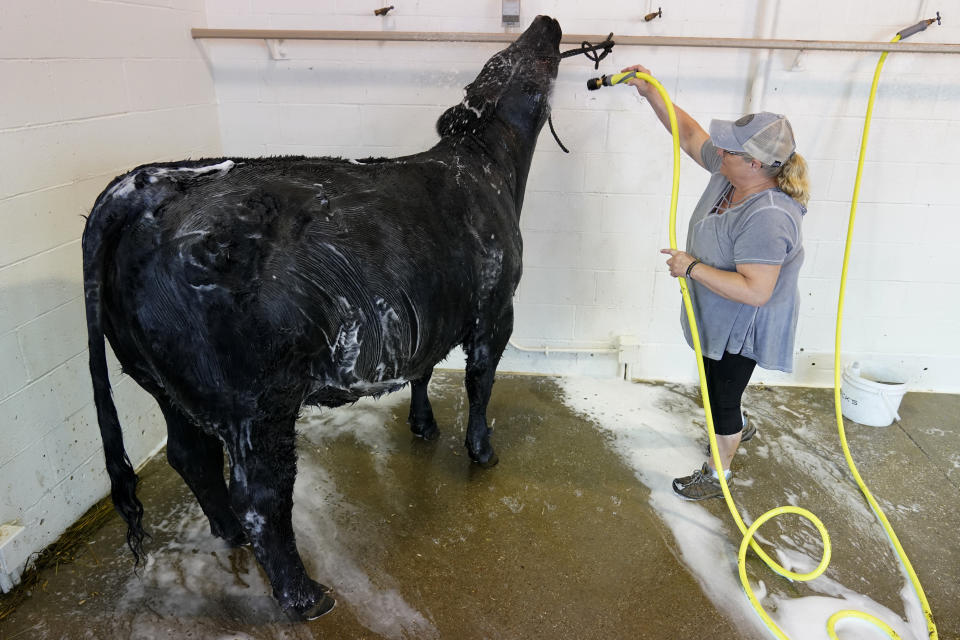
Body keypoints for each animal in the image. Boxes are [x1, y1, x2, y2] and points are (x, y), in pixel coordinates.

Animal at [80, 13, 564, 616]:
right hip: (256, 402)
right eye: (514, 60)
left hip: (157, 379)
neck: (485, 164)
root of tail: (149, 183)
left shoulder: (424, 311)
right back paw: (304, 596)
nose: (545, 21)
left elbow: (425, 369)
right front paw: (482, 453)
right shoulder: (496, 311)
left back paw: (229, 534)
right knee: (259, 496)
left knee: (191, 456)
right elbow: (480, 384)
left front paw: (423, 426)